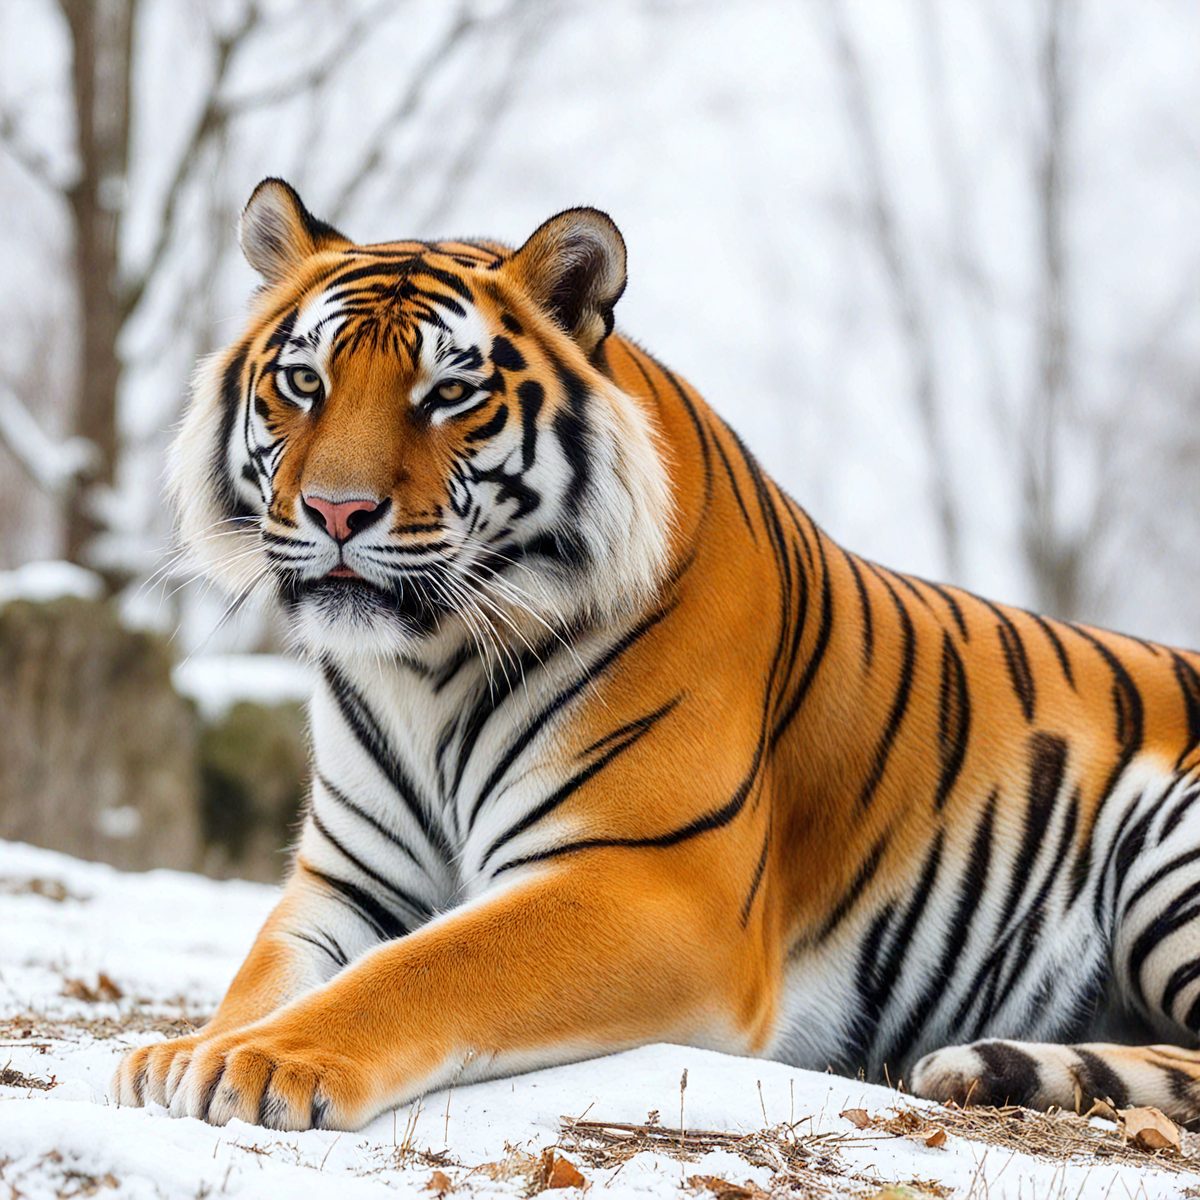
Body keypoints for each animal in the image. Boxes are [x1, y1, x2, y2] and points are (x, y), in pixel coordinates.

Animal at [113, 177, 1200, 1133]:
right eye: (305, 381)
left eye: (450, 393)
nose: (337, 511)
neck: (424, 672)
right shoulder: (347, 879)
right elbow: (266, 968)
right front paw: (186, 1049)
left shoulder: (654, 884)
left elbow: (425, 967)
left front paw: (260, 1060)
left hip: (1168, 845)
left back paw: (985, 1062)